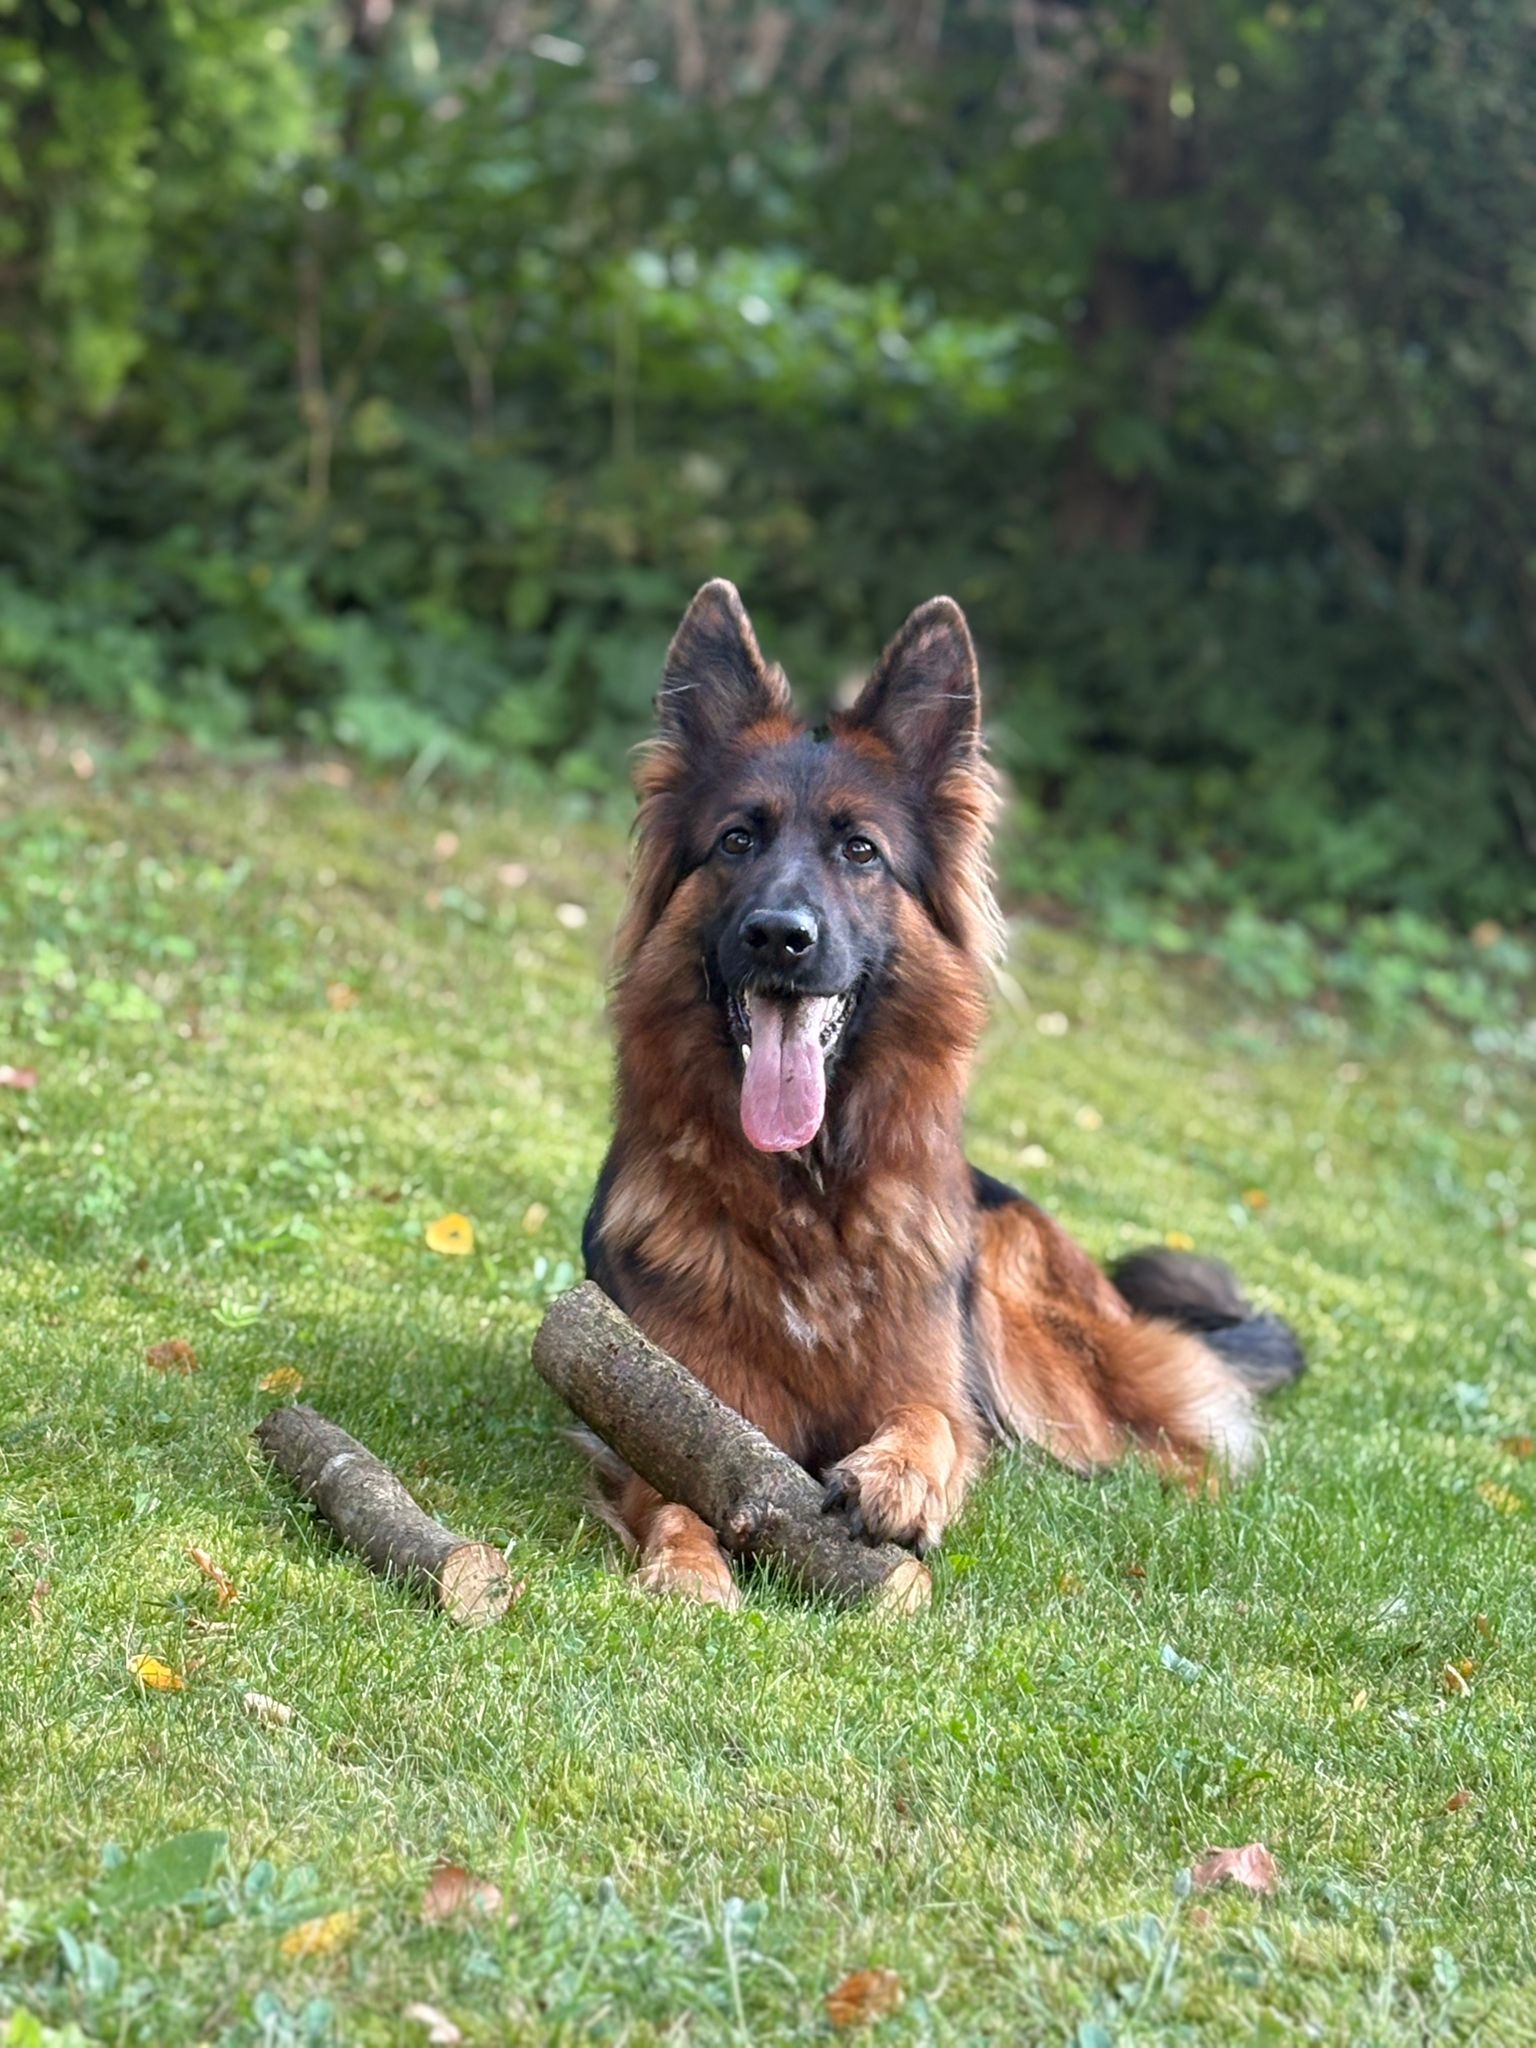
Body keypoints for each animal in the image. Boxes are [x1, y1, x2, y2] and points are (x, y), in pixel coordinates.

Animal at [581, 580, 1303, 1606]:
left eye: (859, 850)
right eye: (736, 840)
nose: (779, 936)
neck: (808, 1200)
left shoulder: (929, 1381)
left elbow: (935, 1420)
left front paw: (896, 1478)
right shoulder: (664, 1392)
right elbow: (678, 1481)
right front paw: (686, 1566)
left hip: (1028, 1332)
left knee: (1170, 1431)